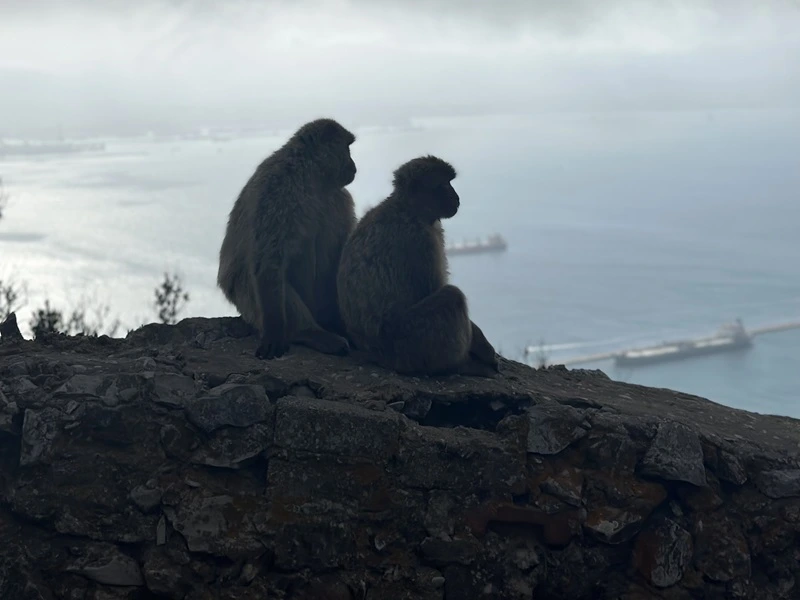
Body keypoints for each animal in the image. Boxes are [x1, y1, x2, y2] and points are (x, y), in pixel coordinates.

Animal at [217, 118, 357, 360]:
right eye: (347, 149)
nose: (354, 166)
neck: (310, 177)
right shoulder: (277, 189)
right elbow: (269, 261)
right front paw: (275, 335)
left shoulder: (340, 198)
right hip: (249, 303)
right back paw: (309, 333)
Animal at [336, 155, 499, 378]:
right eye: (443, 185)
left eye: (450, 182)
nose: (456, 197)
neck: (408, 209)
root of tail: (374, 354)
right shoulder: (421, 240)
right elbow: (431, 289)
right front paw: (482, 347)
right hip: (409, 344)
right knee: (452, 297)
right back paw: (459, 365)